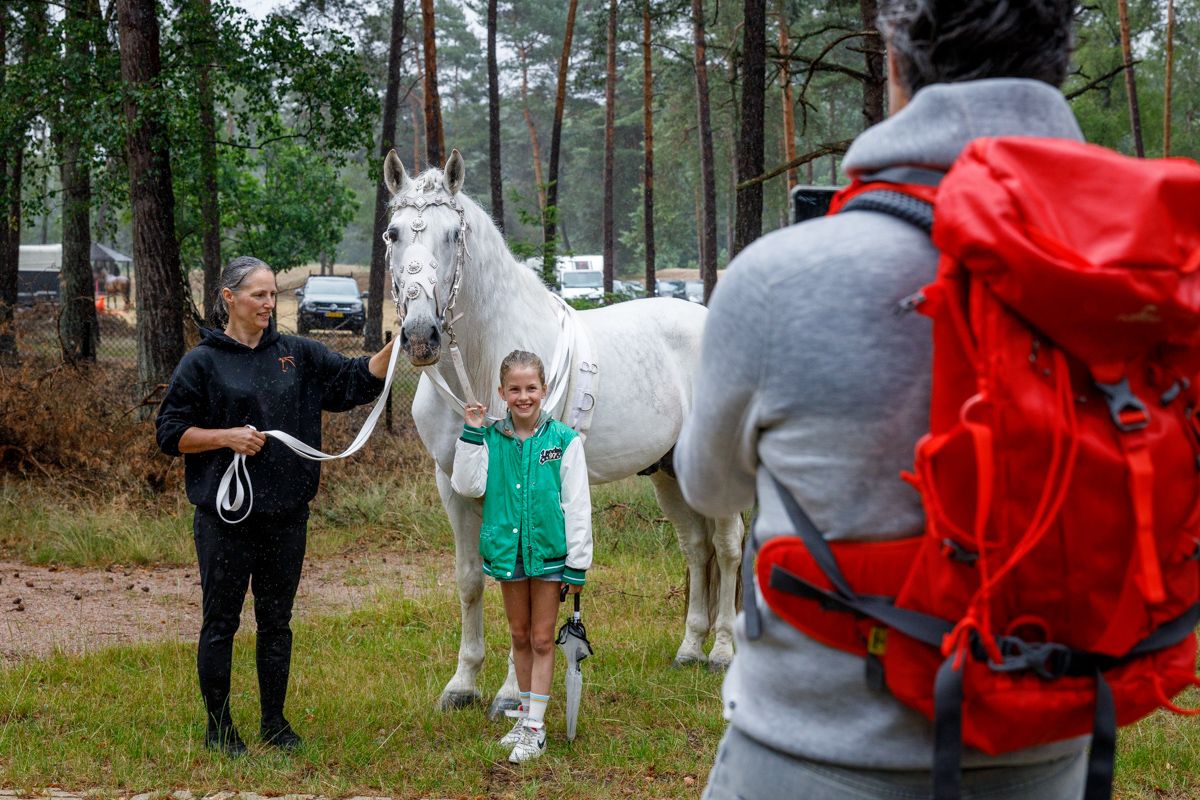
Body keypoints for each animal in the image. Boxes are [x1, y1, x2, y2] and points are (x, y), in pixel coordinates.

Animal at [382, 147, 745, 716]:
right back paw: (689, 649)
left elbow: (522, 578)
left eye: (453, 235)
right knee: (696, 547)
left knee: (727, 548)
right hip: (669, 473)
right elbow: (469, 581)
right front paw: (462, 684)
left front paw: (511, 694)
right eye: (394, 233)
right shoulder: (453, 486)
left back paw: (722, 653)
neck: (486, 365)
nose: (422, 336)